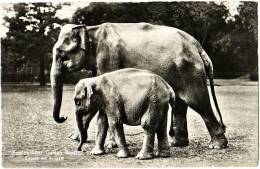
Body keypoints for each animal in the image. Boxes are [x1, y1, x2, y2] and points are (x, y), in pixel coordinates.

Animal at [50, 22, 228, 149]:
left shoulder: (108, 57)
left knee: (196, 101)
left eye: (62, 55)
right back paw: (177, 144)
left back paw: (217, 146)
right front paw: (74, 137)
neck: (92, 29)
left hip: (189, 71)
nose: (63, 117)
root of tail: (198, 46)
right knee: (180, 102)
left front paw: (110, 145)